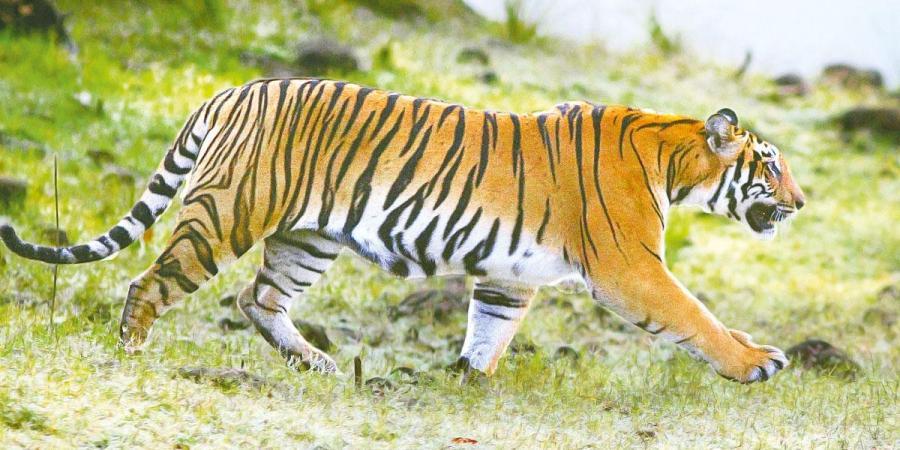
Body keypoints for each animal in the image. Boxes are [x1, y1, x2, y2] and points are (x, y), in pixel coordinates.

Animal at [0, 78, 806, 383]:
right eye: (771, 163)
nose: (801, 202)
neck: (674, 158)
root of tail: (233, 87)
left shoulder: (510, 273)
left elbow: (489, 329)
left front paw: (469, 382)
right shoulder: (630, 267)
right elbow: (695, 317)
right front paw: (755, 361)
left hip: (307, 239)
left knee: (257, 299)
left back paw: (317, 364)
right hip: (227, 212)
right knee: (150, 282)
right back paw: (132, 354)